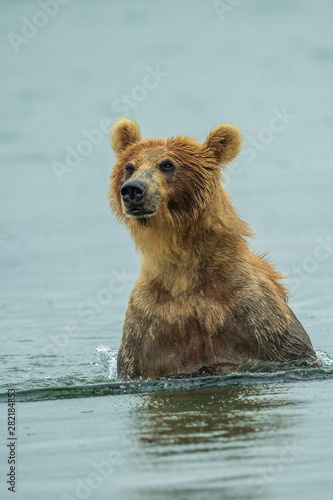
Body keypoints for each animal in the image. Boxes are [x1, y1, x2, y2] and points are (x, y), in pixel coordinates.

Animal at [107, 118, 316, 378]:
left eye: (167, 164)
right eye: (129, 166)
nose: (132, 189)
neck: (184, 276)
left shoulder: (254, 316)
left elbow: (291, 350)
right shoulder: (148, 327)